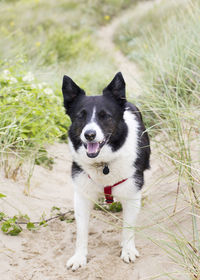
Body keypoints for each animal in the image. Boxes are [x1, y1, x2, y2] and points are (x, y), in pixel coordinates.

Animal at [62, 72, 150, 272]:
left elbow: (128, 227)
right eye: (80, 116)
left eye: (105, 116)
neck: (103, 163)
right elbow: (81, 233)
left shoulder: (132, 194)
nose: (89, 135)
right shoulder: (82, 196)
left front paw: (128, 250)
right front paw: (79, 257)